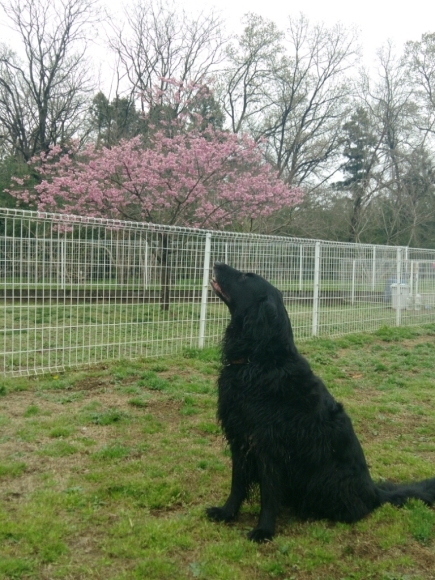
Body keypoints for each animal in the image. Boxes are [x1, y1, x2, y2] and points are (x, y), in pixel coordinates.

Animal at [207, 264, 435, 544]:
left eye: (245, 277)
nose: (217, 264)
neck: (259, 361)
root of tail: (374, 492)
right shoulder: (240, 439)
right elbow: (237, 484)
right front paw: (226, 513)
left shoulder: (269, 447)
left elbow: (268, 493)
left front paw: (264, 530)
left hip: (324, 479)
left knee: (354, 510)